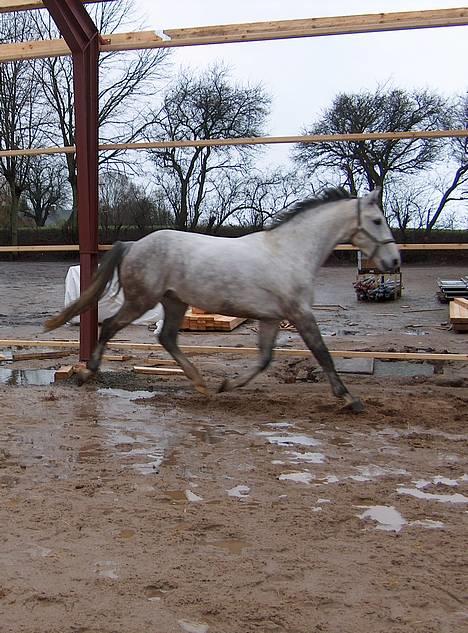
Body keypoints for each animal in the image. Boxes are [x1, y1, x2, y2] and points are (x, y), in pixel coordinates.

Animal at [45, 186, 400, 410]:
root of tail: (133, 244)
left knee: (167, 338)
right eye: (377, 220)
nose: (394, 261)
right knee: (109, 327)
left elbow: (264, 359)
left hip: (174, 301)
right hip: (141, 300)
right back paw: (87, 373)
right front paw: (350, 399)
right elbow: (323, 354)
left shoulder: (272, 318)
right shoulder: (300, 313)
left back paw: (202, 384)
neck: (290, 252)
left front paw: (226, 385)